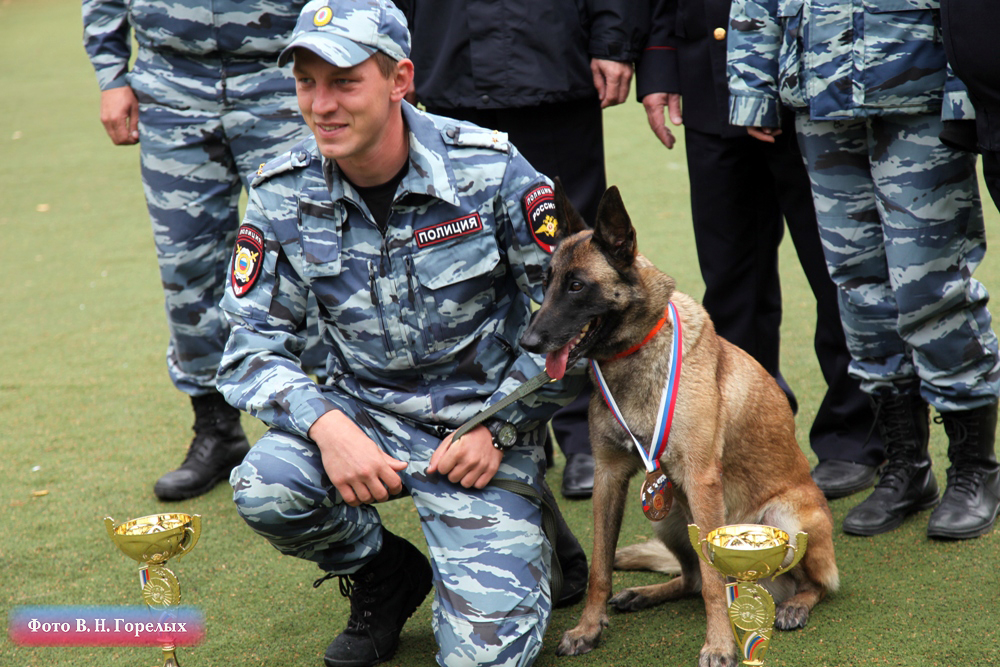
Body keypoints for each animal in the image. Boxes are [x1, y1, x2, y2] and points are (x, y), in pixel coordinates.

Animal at [520, 184, 840, 667]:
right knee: (688, 579)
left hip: (783, 517)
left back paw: (795, 606)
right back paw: (646, 593)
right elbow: (600, 566)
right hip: (668, 517)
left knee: (817, 584)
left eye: (576, 286)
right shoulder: (608, 477)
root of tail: (764, 585)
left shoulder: (700, 478)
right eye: (546, 282)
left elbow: (712, 579)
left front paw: (720, 644)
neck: (635, 355)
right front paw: (589, 628)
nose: (527, 342)